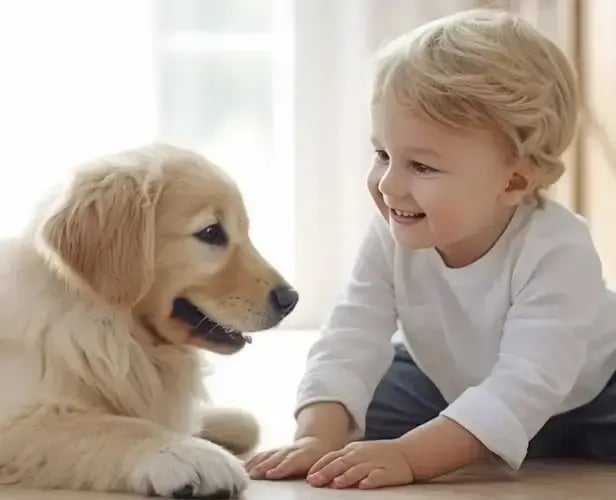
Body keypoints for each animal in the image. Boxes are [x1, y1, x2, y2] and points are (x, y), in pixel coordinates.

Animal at [0, 143, 298, 498]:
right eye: (211, 233)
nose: (291, 299)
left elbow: (243, 422)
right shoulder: (19, 414)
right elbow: (110, 425)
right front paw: (189, 453)